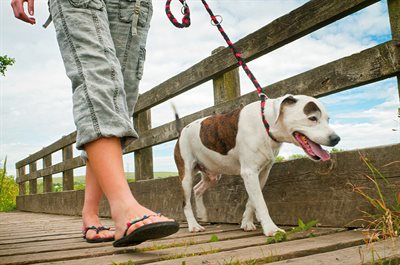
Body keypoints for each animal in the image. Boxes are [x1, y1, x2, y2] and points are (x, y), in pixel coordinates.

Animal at [173, 94, 340, 234]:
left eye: (328, 119)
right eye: (312, 118)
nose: (336, 138)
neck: (266, 123)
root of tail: (182, 131)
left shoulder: (262, 173)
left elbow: (252, 201)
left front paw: (247, 223)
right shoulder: (249, 172)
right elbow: (260, 202)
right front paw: (271, 229)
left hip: (212, 175)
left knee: (197, 189)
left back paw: (202, 213)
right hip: (186, 174)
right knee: (185, 202)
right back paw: (193, 225)